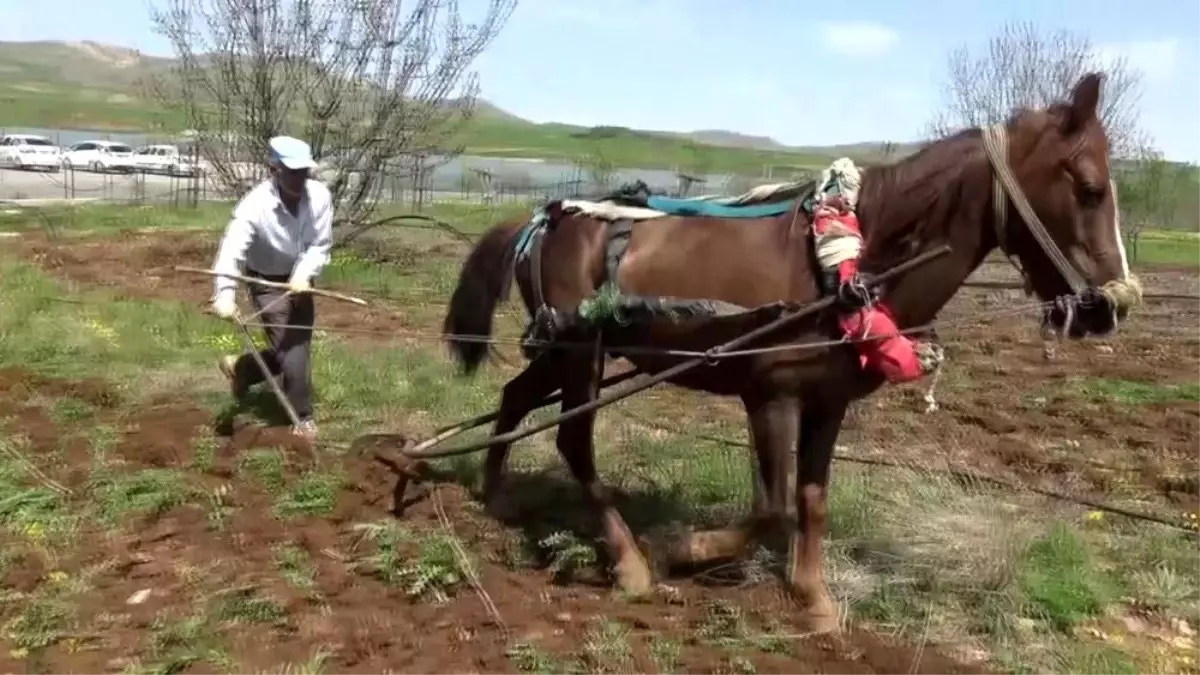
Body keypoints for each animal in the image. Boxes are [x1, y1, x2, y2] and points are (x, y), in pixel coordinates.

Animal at [439, 73, 1142, 629]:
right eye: (1088, 187)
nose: (1112, 306)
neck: (848, 268)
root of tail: (541, 219)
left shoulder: (828, 402)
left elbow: (811, 499)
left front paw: (814, 597)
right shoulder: (772, 395)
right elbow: (772, 507)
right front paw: (688, 548)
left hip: (566, 352)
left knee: (516, 397)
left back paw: (494, 493)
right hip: (581, 354)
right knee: (573, 440)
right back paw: (631, 562)